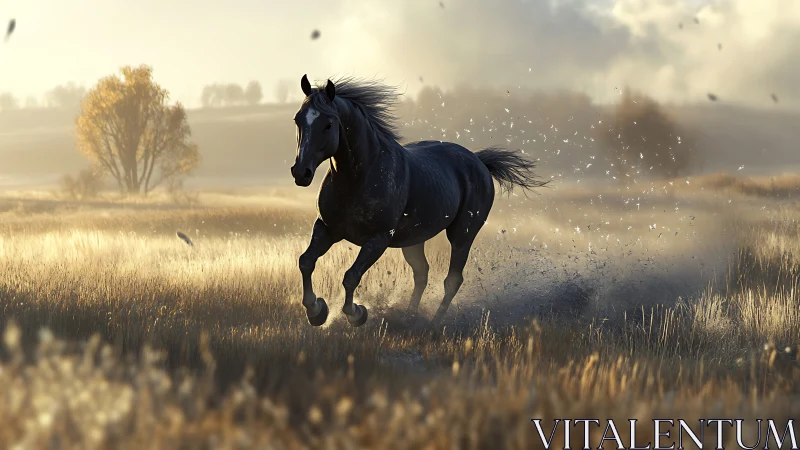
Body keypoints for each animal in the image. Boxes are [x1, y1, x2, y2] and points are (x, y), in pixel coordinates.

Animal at [290, 74, 547, 328]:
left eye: (328, 124)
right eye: (298, 120)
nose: (301, 173)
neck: (359, 177)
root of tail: (480, 162)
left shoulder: (378, 238)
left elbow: (351, 276)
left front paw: (357, 313)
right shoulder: (326, 228)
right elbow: (306, 261)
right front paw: (316, 311)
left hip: (463, 234)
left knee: (452, 280)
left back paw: (433, 324)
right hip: (414, 240)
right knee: (422, 273)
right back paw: (409, 317)